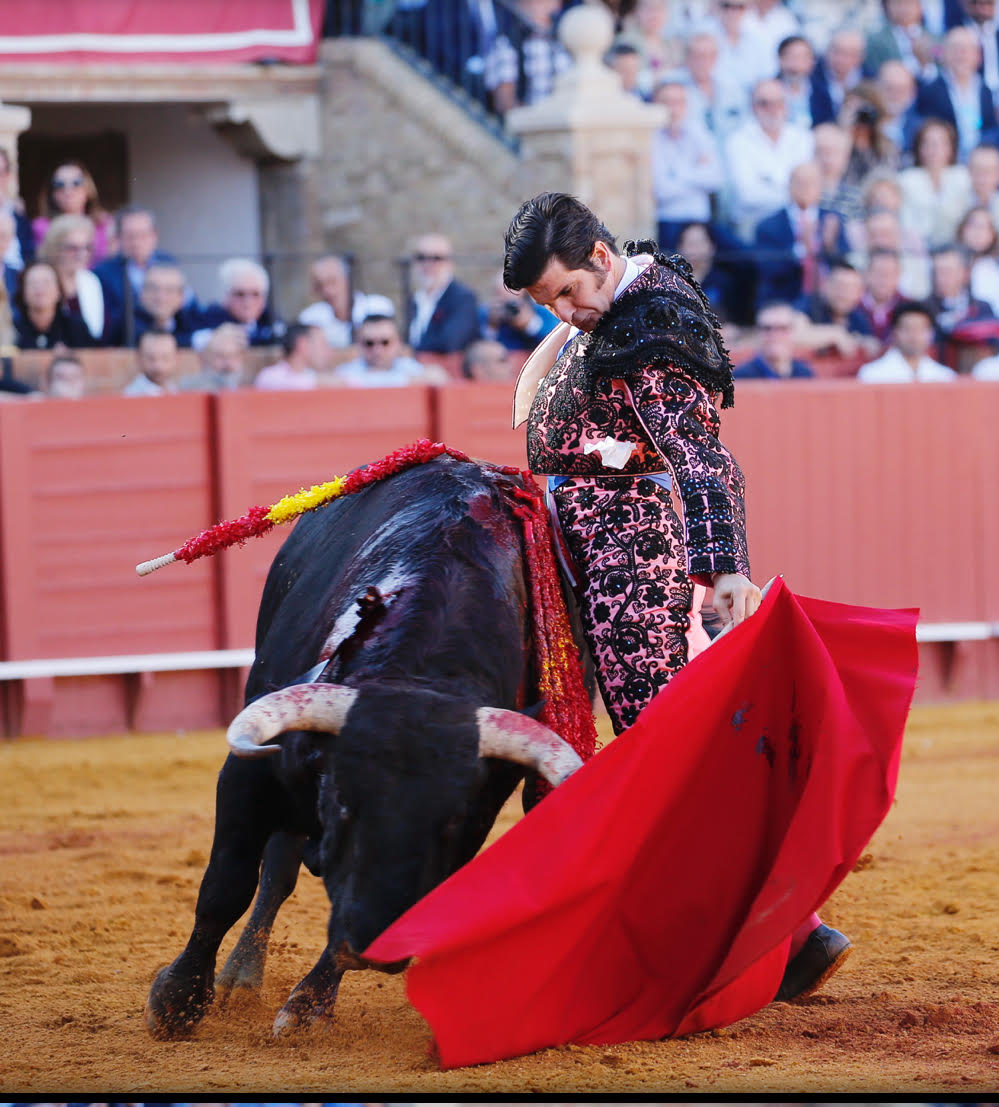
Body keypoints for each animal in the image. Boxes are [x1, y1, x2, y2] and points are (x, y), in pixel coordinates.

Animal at [146, 456, 589, 1036]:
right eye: (340, 802)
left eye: (454, 819)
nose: (376, 942)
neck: (421, 671)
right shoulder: (251, 773)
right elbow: (227, 884)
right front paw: (176, 1002)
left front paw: (309, 1006)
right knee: (277, 870)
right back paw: (240, 976)